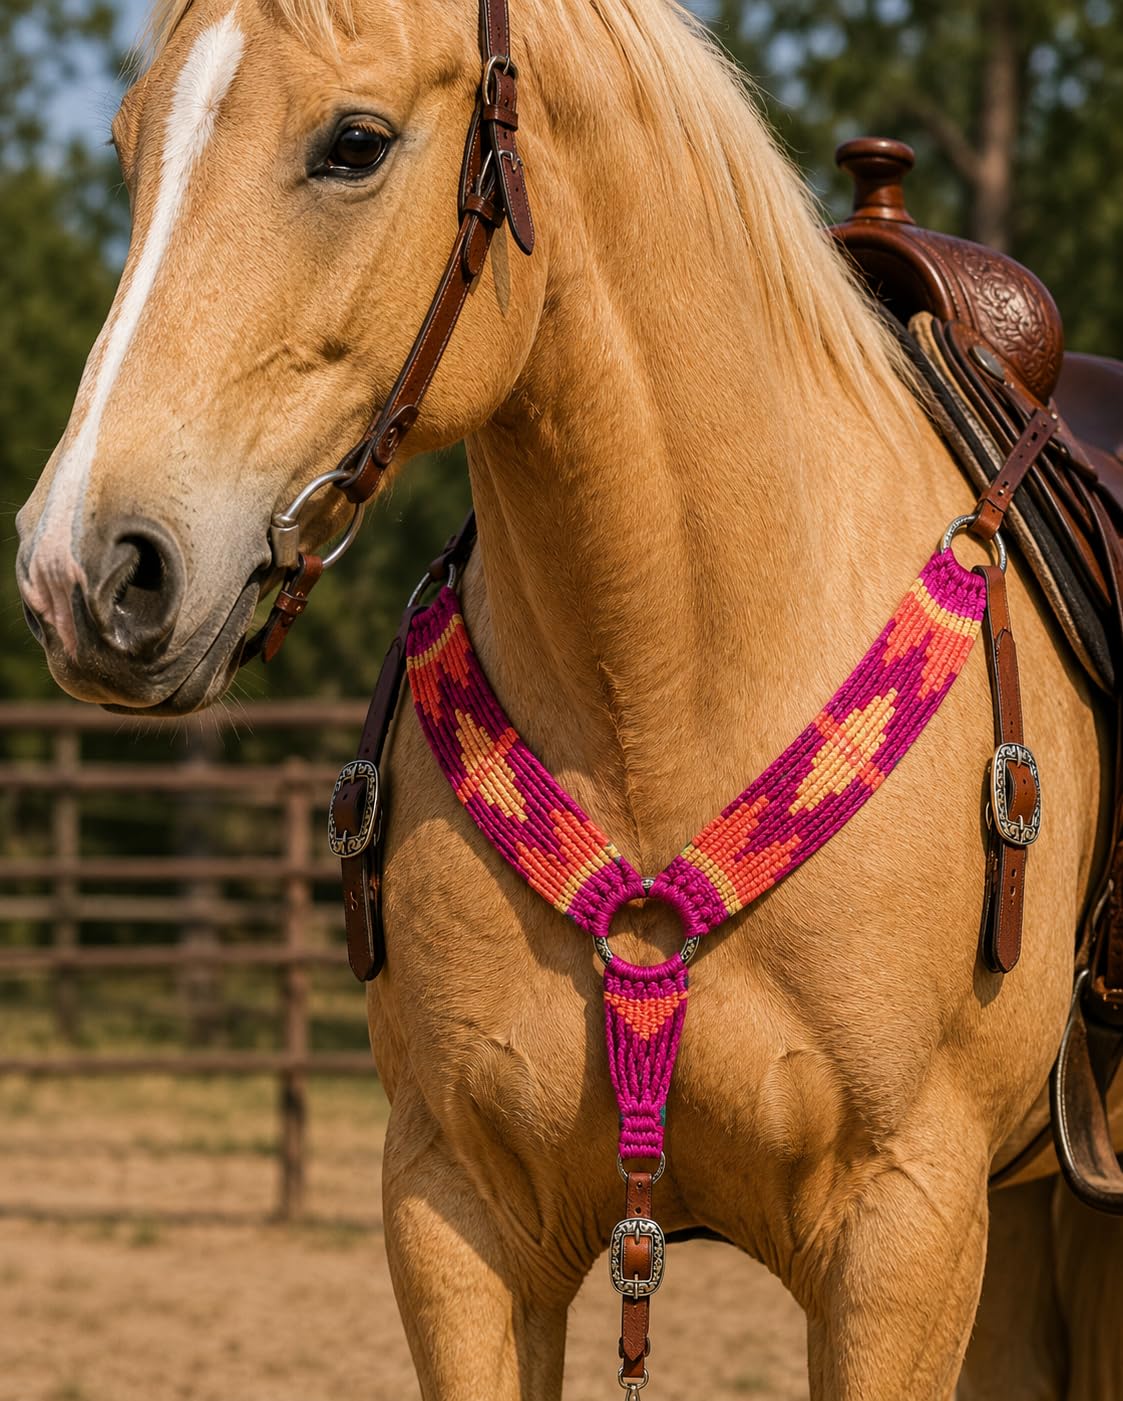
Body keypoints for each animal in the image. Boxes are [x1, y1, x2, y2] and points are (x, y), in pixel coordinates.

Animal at [13, 0, 1123, 1395]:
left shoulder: (903, 1233)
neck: (671, 686)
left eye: (355, 142)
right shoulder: (458, 1215)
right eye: (128, 147)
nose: (80, 572)